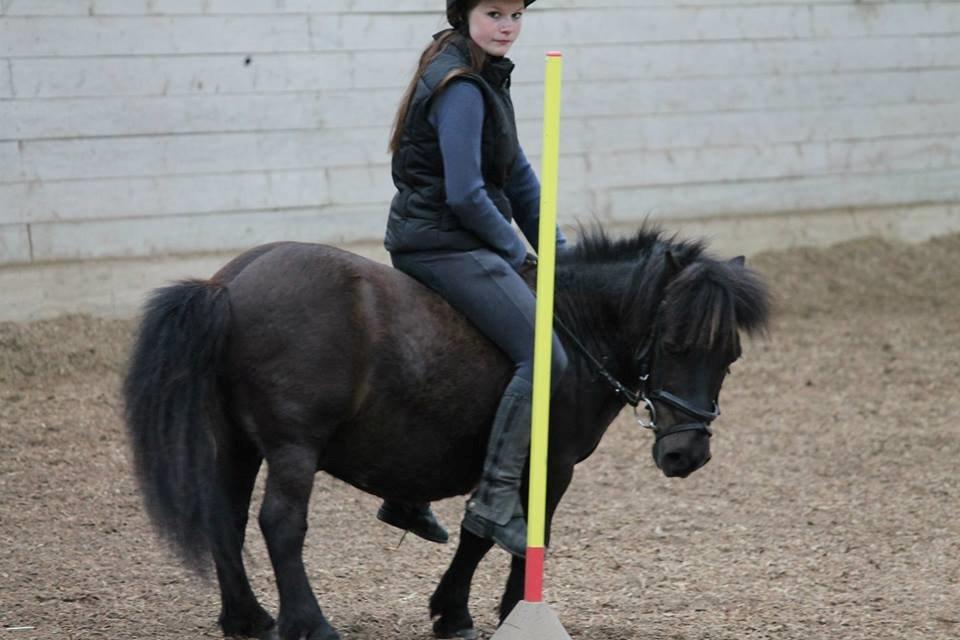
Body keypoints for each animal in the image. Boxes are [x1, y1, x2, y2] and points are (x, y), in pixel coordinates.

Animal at [123, 225, 769, 640]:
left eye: (730, 356)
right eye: (675, 345)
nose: (686, 454)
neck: (575, 325)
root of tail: (227, 287)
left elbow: (478, 533)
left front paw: (455, 612)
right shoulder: (550, 463)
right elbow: (505, 532)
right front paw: (495, 611)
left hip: (237, 442)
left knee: (225, 520)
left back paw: (247, 619)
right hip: (291, 448)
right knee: (281, 525)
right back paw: (310, 624)